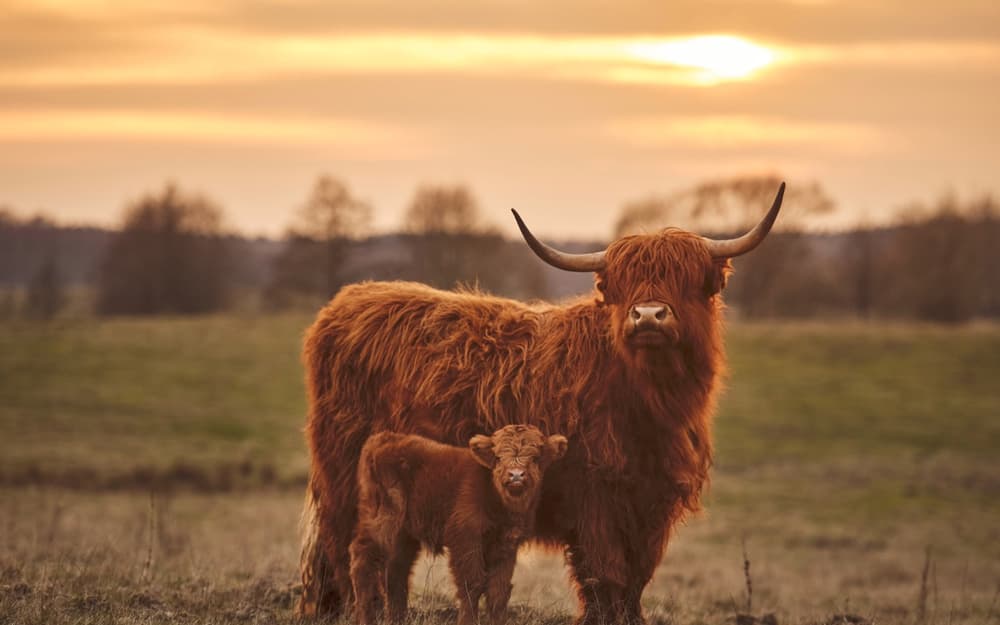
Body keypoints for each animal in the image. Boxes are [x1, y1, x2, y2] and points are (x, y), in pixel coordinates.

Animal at [350, 425, 568, 625]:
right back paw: (365, 618)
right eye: (498, 457)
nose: (516, 475)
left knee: (396, 571)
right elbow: (472, 584)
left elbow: (498, 591)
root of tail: (382, 439)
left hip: (403, 535)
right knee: (363, 559)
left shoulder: (506, 545)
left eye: (536, 458)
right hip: (383, 521)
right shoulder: (466, 538)